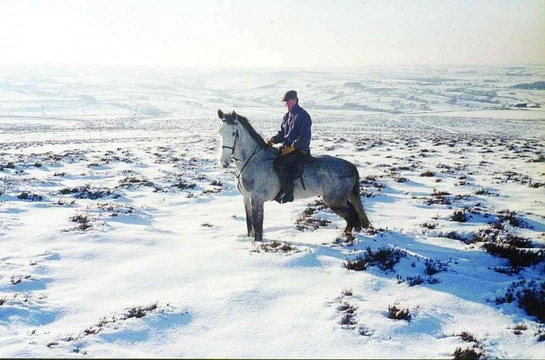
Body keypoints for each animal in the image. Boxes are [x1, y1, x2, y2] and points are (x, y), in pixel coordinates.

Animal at [217, 108, 370, 240]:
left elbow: (258, 226)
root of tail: (351, 166)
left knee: (351, 215)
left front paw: (257, 244)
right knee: (353, 215)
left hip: (334, 201)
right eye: (220, 132)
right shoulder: (246, 198)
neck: (253, 160)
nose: (224, 162)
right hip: (340, 199)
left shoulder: (257, 199)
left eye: (234, 133)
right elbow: (250, 224)